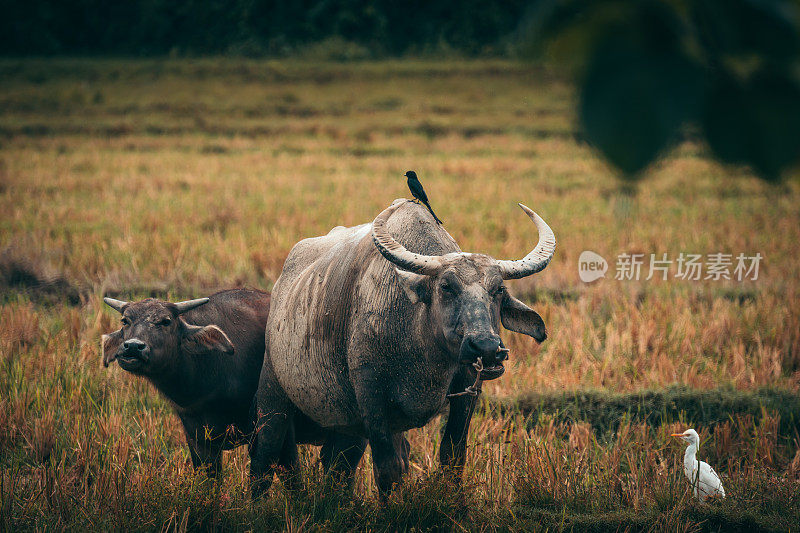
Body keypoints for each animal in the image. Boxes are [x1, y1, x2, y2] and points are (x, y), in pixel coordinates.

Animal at [252, 198, 556, 494]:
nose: (486, 347)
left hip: (347, 428)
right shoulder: (372, 398)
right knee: (264, 455)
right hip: (272, 397)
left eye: (499, 289)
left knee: (338, 467)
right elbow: (388, 469)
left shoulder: (468, 390)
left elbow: (452, 460)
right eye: (446, 286)